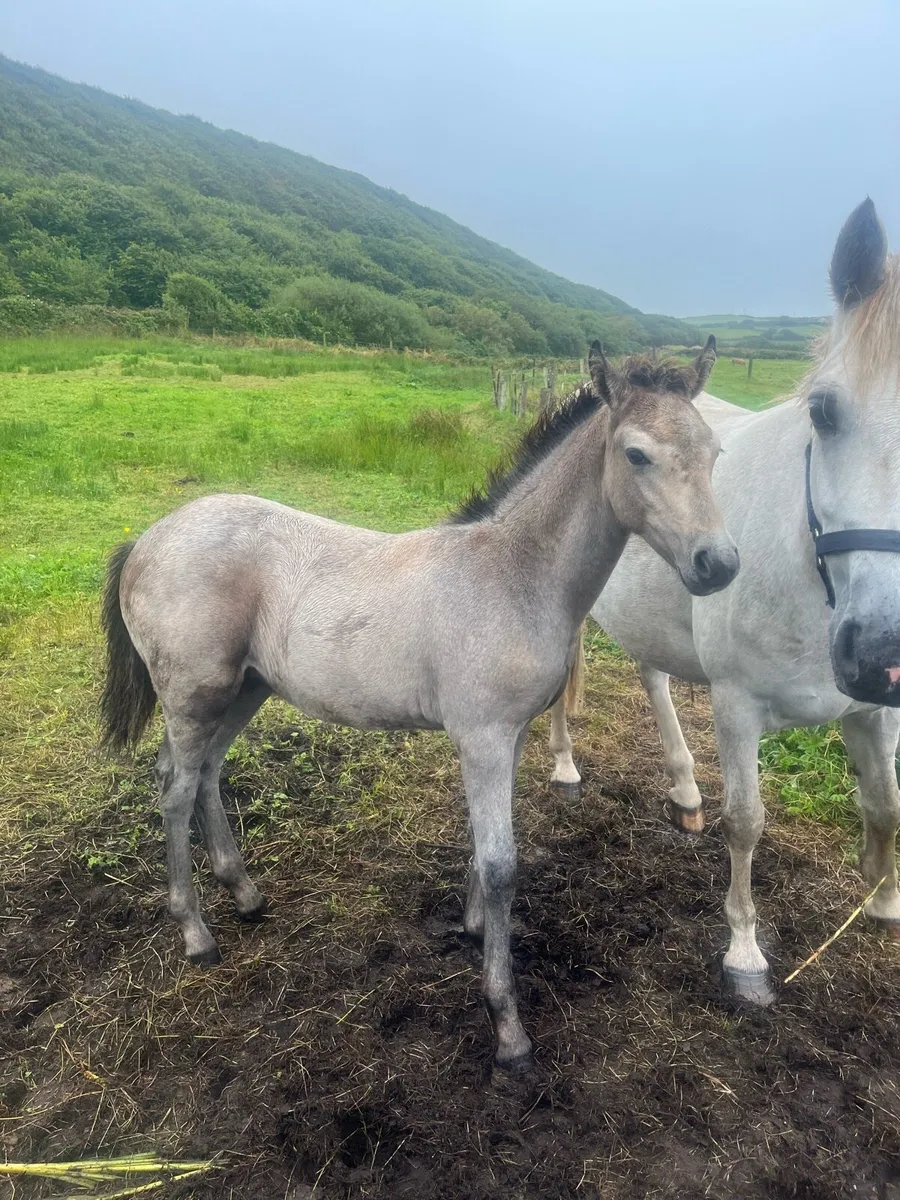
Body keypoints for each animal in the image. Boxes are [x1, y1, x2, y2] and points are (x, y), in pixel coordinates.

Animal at [99, 340, 739, 1070]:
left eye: (714, 450)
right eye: (636, 454)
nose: (718, 564)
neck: (514, 574)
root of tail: (148, 539)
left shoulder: (509, 734)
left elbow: (486, 850)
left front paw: (472, 927)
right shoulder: (484, 736)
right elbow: (502, 864)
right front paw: (506, 1024)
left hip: (245, 688)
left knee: (205, 773)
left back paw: (246, 895)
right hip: (194, 694)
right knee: (175, 788)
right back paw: (197, 933)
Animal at [546, 199, 900, 1007]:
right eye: (823, 411)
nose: (881, 648)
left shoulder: (876, 709)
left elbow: (887, 805)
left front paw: (885, 900)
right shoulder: (738, 704)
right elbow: (747, 822)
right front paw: (744, 953)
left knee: (652, 674)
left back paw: (683, 788)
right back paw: (565, 765)